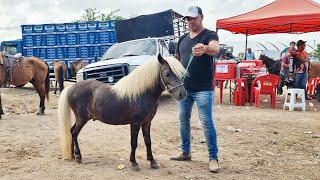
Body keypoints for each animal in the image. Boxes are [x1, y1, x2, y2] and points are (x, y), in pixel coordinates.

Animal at [58, 53, 188, 172]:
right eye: (167, 73)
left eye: (180, 73)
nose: (182, 94)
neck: (141, 94)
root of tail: (71, 88)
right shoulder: (135, 123)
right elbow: (134, 142)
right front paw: (134, 163)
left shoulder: (147, 123)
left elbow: (148, 141)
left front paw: (152, 162)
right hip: (82, 119)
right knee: (74, 133)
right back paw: (78, 156)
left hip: (80, 119)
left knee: (71, 131)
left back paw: (73, 154)